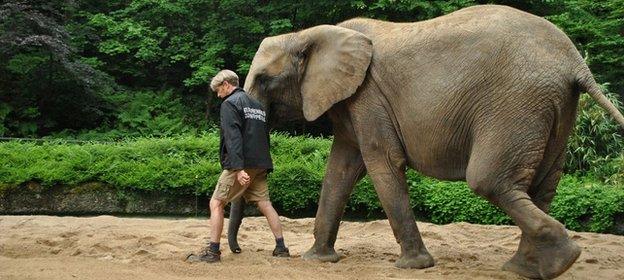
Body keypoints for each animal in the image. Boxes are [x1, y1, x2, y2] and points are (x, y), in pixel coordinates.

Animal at [229, 4, 624, 280]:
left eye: (263, 80)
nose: (236, 253)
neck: (310, 35)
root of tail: (575, 62)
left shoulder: (368, 97)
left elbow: (382, 163)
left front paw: (413, 266)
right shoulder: (351, 103)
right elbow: (340, 169)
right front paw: (318, 260)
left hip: (517, 103)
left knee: (489, 180)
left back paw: (558, 259)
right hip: (554, 106)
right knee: (542, 184)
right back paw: (533, 268)